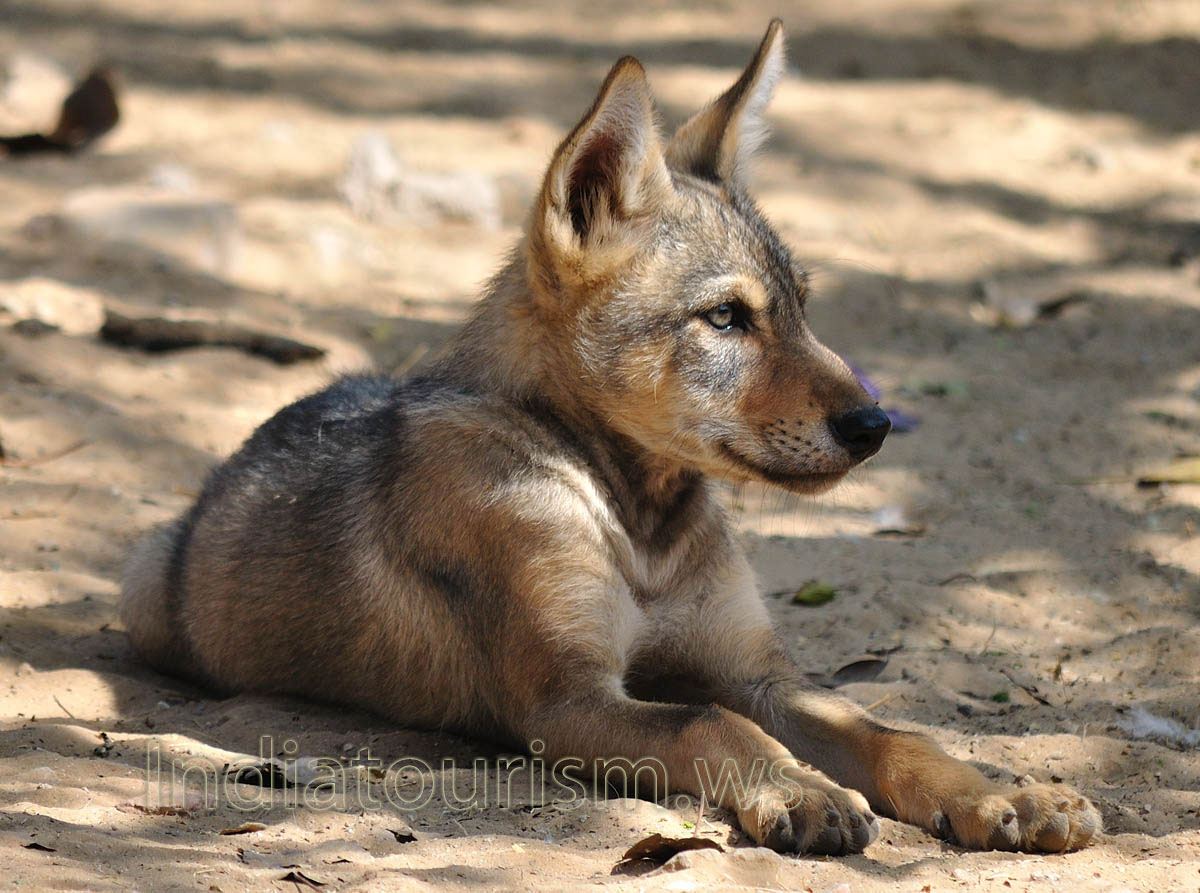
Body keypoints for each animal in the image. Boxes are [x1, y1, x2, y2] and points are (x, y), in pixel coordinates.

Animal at [121, 21, 1100, 855]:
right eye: (725, 317)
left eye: (801, 308)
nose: (875, 425)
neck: (640, 523)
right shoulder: (566, 698)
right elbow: (712, 723)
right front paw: (803, 789)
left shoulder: (759, 673)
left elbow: (893, 730)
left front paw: (1003, 793)